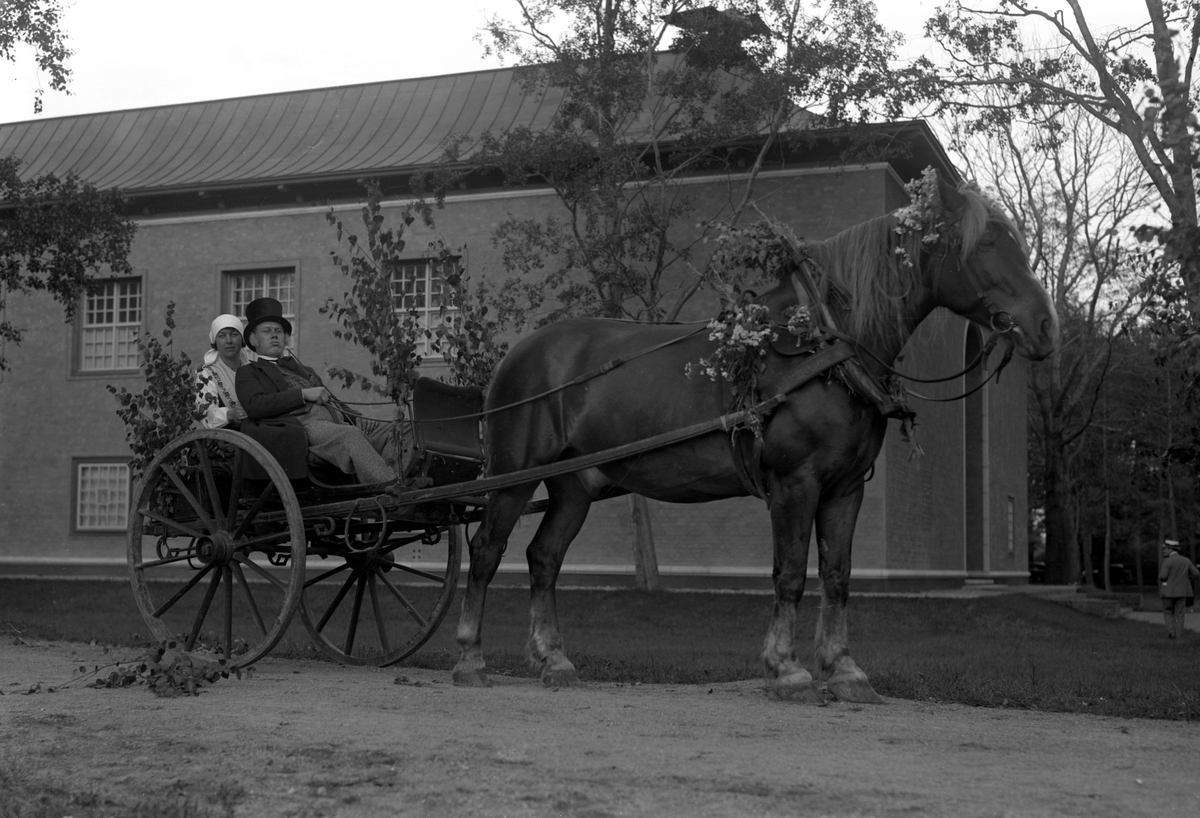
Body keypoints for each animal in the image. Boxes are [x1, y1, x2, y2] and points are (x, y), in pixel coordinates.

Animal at [451, 171, 1060, 700]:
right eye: (987, 245)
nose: (1047, 326)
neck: (826, 349)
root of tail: (518, 353)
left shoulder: (846, 488)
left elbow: (837, 576)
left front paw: (844, 669)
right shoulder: (795, 482)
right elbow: (789, 574)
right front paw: (786, 668)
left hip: (574, 486)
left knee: (544, 558)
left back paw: (554, 659)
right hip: (514, 475)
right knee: (486, 551)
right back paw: (469, 659)